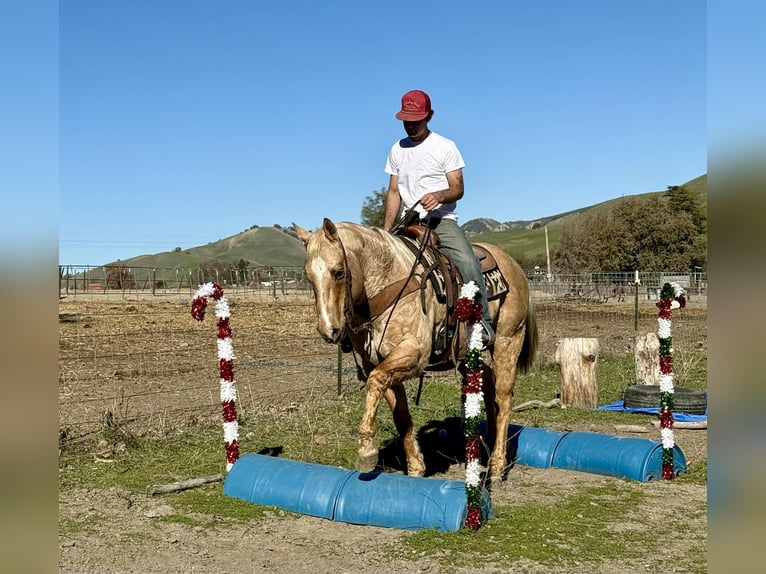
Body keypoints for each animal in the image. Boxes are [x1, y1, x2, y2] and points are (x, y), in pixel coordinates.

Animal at [293, 218, 538, 486]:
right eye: (308, 277)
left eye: (338, 272)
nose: (328, 330)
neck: (388, 280)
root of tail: (514, 266)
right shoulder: (378, 362)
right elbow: (400, 414)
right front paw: (415, 467)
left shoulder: (414, 353)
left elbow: (375, 382)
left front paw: (366, 450)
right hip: (465, 354)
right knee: (490, 383)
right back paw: (490, 447)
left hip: (508, 340)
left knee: (504, 399)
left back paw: (496, 466)